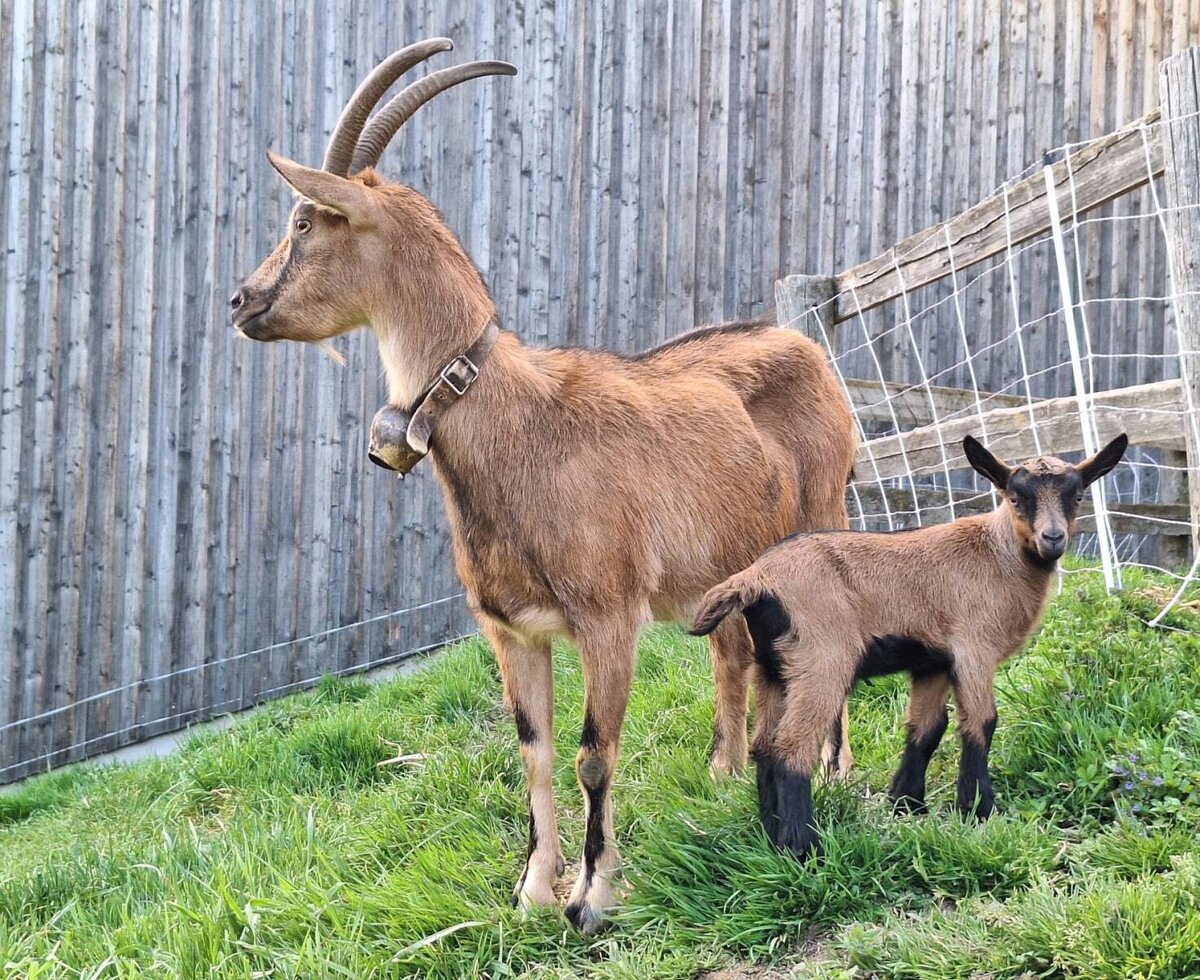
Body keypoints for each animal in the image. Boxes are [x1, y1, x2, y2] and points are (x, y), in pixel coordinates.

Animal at [229, 40, 858, 932]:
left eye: (304, 221)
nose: (241, 301)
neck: (519, 426)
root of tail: (807, 345)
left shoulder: (607, 618)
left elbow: (595, 753)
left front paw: (593, 896)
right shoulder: (510, 630)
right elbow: (534, 752)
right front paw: (531, 889)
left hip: (824, 512)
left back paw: (833, 770)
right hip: (729, 566)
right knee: (736, 652)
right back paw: (727, 775)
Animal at [691, 433, 1129, 859]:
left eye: (1078, 495)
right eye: (1015, 497)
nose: (1052, 538)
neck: (998, 555)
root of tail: (754, 579)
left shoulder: (933, 661)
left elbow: (927, 728)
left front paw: (906, 804)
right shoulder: (974, 649)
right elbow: (980, 722)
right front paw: (979, 810)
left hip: (772, 667)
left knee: (765, 747)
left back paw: (770, 835)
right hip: (821, 661)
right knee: (792, 746)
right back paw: (802, 846)